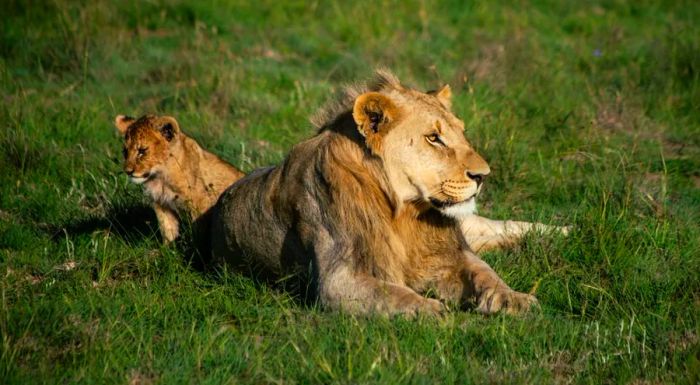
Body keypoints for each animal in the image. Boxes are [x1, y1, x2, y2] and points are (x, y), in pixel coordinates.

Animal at [208, 70, 552, 314]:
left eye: (461, 133)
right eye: (433, 138)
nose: (483, 175)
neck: (405, 213)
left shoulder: (451, 254)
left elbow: (485, 272)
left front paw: (513, 298)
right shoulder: (338, 278)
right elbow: (391, 292)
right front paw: (429, 309)